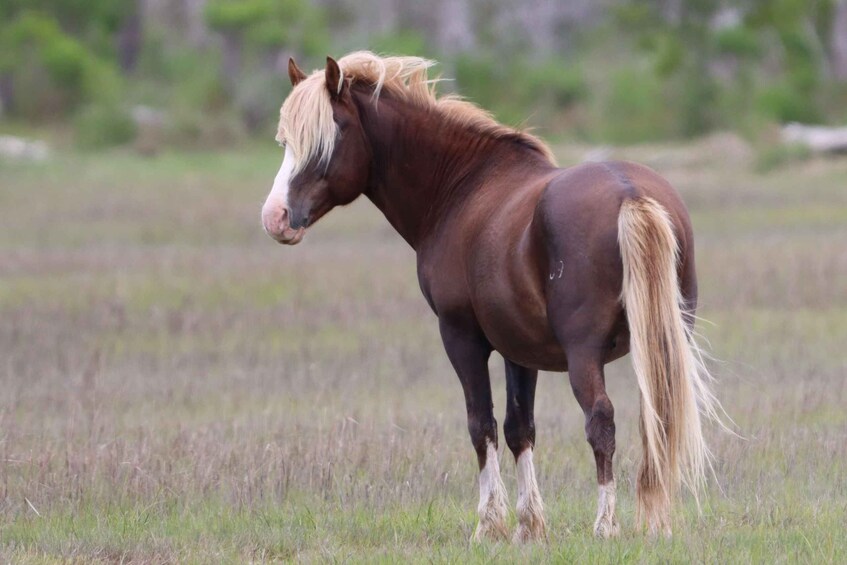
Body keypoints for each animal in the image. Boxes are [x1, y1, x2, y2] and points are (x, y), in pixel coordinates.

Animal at [261, 51, 721, 542]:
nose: (276, 217)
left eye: (330, 136)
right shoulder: (519, 348)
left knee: (601, 420)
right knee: (658, 417)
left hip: (584, 354)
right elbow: (521, 428)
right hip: (664, 343)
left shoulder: (461, 336)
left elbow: (481, 424)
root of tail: (631, 195)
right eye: (285, 140)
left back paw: (606, 524)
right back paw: (656, 521)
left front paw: (490, 524)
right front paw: (529, 525)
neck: (462, 188)